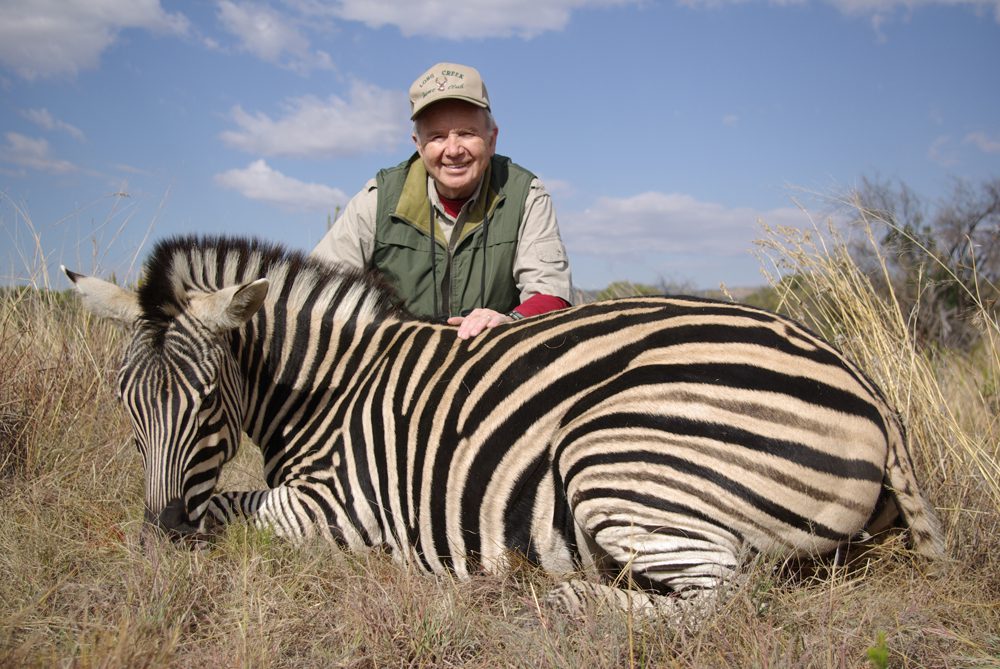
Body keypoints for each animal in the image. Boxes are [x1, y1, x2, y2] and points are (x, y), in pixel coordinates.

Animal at [64, 235, 945, 616]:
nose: (162, 539)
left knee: (722, 597)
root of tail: (871, 391)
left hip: (611, 454)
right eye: (126, 404)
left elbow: (228, 507)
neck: (331, 387)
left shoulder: (339, 508)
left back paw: (560, 595)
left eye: (207, 403)